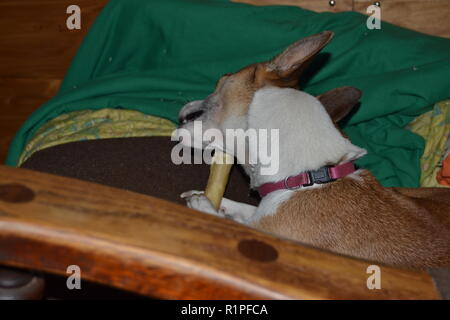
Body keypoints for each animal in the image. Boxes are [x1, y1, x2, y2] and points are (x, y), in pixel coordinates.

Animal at [178, 31, 450, 268]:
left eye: (222, 80)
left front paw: (205, 206)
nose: (181, 113)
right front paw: (214, 201)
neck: (311, 175)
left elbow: (233, 224)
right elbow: (247, 210)